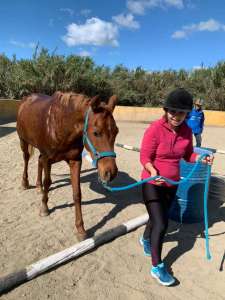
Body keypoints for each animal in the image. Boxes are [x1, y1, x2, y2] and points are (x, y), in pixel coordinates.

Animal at [16, 91, 118, 239]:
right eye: (96, 132)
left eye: (116, 131)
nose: (110, 172)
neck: (61, 125)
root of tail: (26, 100)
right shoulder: (48, 159)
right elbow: (48, 182)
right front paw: (44, 208)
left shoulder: (75, 161)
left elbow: (77, 193)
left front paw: (80, 229)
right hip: (23, 141)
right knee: (26, 159)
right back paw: (25, 183)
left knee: (39, 162)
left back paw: (38, 186)